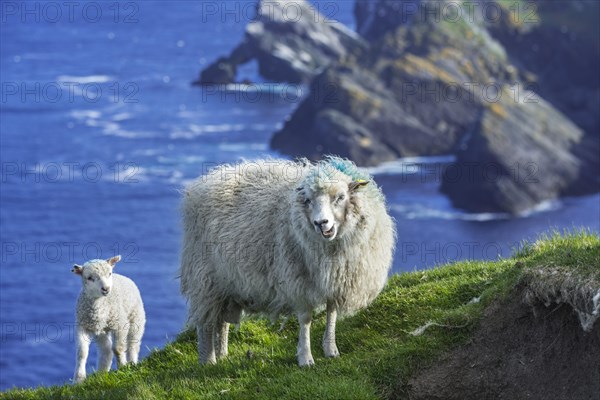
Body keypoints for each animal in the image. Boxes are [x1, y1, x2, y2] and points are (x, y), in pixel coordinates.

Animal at [179, 155, 394, 366]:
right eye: (307, 200)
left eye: (340, 197)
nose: (321, 223)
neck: (331, 247)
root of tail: (203, 183)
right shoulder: (298, 281)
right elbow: (306, 319)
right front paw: (305, 358)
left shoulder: (335, 281)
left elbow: (331, 313)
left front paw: (331, 349)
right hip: (206, 279)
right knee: (206, 323)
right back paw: (208, 361)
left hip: (228, 284)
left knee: (222, 321)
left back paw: (222, 355)